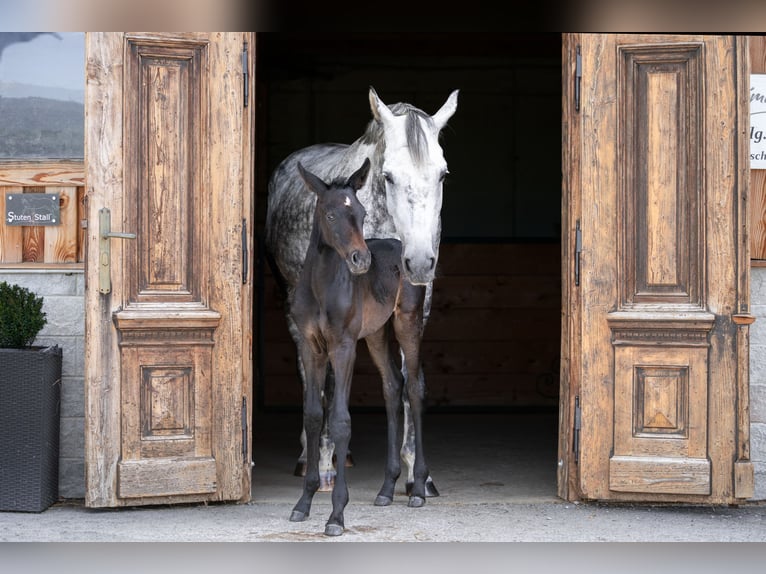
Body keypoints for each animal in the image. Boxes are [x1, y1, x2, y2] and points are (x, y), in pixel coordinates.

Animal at [266, 85, 456, 500]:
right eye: (389, 176)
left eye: (442, 174)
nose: (419, 262)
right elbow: (328, 386)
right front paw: (323, 469)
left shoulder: (416, 308)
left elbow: (409, 383)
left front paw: (419, 477)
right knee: (310, 376)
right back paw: (311, 456)